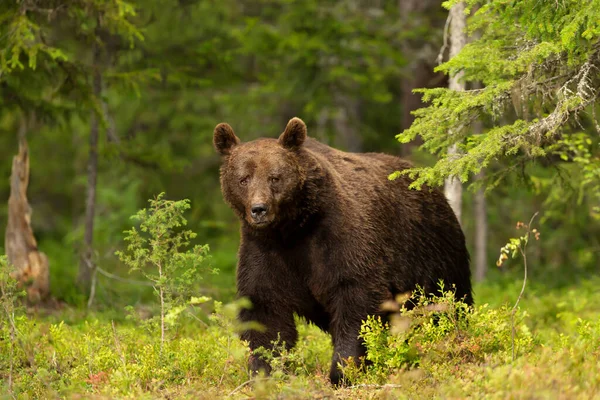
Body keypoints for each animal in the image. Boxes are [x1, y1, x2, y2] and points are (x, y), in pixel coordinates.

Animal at [213, 117, 472, 386]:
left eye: (275, 177)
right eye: (243, 178)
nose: (259, 209)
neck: (294, 228)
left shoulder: (339, 238)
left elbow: (356, 299)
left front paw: (342, 371)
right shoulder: (264, 249)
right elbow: (265, 309)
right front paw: (264, 371)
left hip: (430, 253)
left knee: (447, 301)